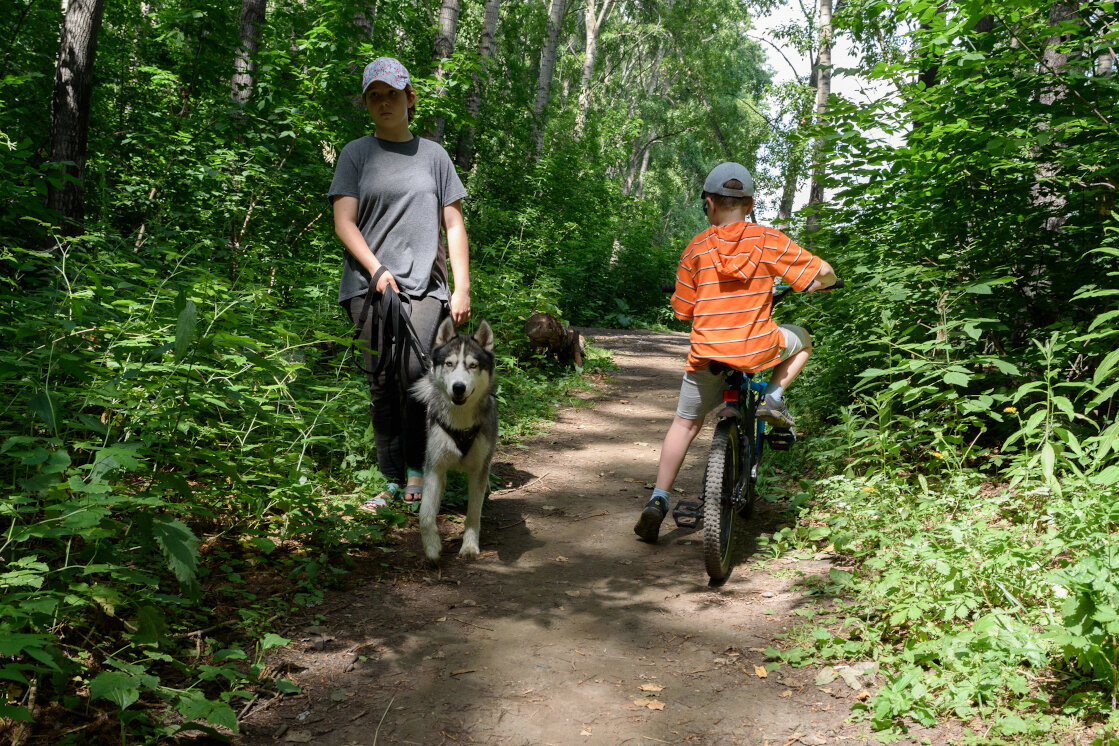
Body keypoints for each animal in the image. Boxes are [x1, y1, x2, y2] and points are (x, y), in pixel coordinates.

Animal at [414, 317, 496, 563]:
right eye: (449, 363)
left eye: (473, 365)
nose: (458, 387)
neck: (460, 422)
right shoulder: (433, 467)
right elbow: (425, 514)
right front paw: (432, 547)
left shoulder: (479, 469)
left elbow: (473, 514)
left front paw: (469, 546)